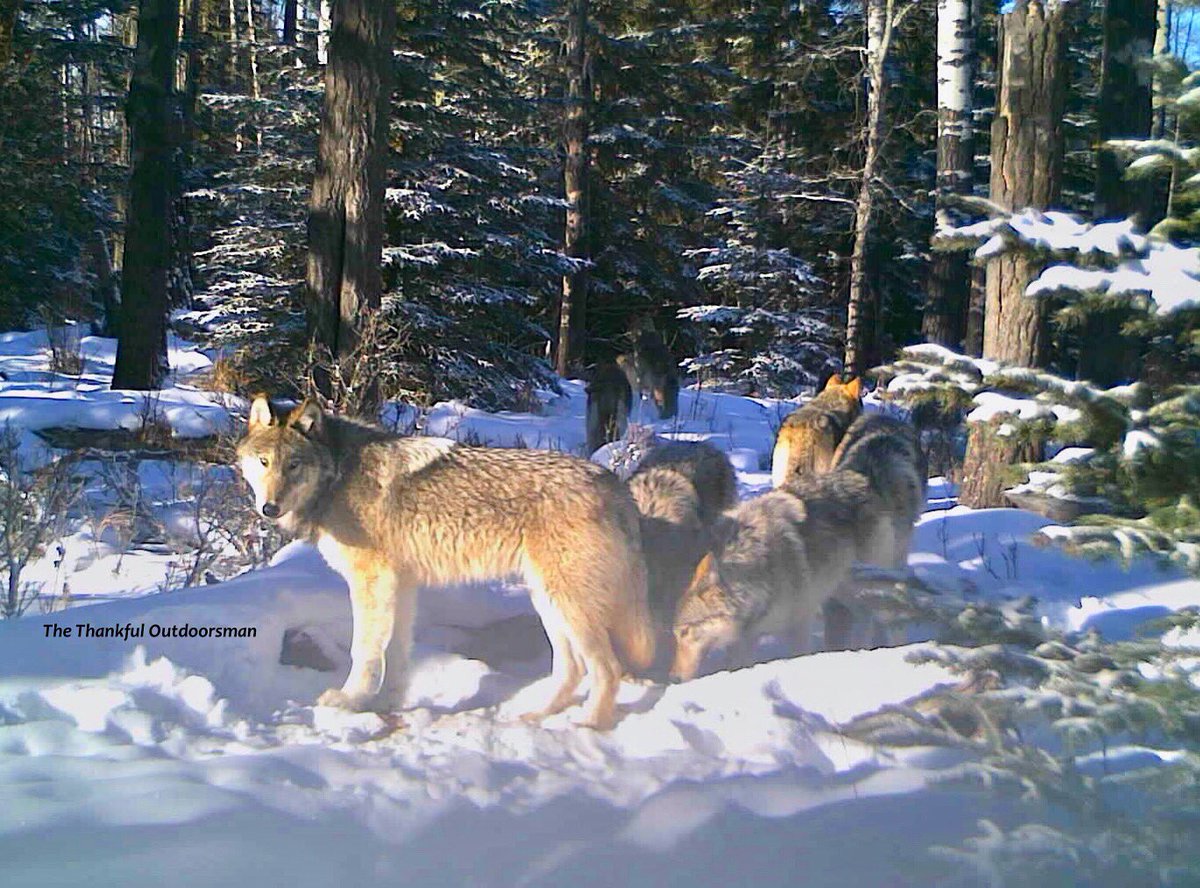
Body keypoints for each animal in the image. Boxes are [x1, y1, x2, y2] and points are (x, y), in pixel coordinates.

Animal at [236, 396, 654, 730]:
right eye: (264, 462)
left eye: (294, 465)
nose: (269, 508)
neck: (338, 474)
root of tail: (613, 483)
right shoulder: (400, 585)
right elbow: (395, 652)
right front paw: (388, 702)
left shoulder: (372, 581)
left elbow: (364, 650)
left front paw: (349, 701)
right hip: (549, 602)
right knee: (573, 669)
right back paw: (536, 716)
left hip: (568, 604)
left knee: (608, 669)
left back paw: (588, 726)